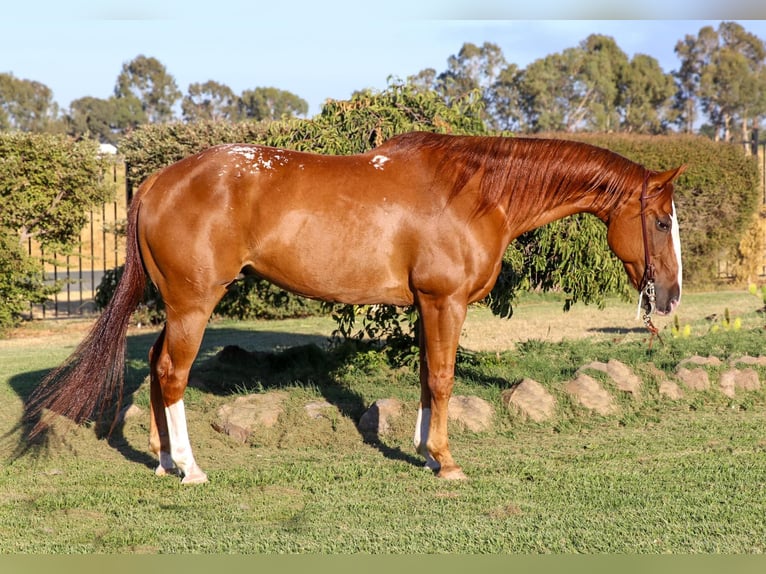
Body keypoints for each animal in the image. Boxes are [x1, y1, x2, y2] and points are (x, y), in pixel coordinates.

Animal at [25, 133, 684, 484]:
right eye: (659, 220)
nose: (671, 295)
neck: (474, 193)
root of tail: (157, 181)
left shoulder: (425, 306)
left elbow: (425, 377)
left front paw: (423, 453)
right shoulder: (445, 303)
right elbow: (442, 379)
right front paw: (446, 462)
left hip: (175, 305)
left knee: (162, 373)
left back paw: (165, 463)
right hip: (193, 303)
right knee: (170, 372)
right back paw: (191, 469)